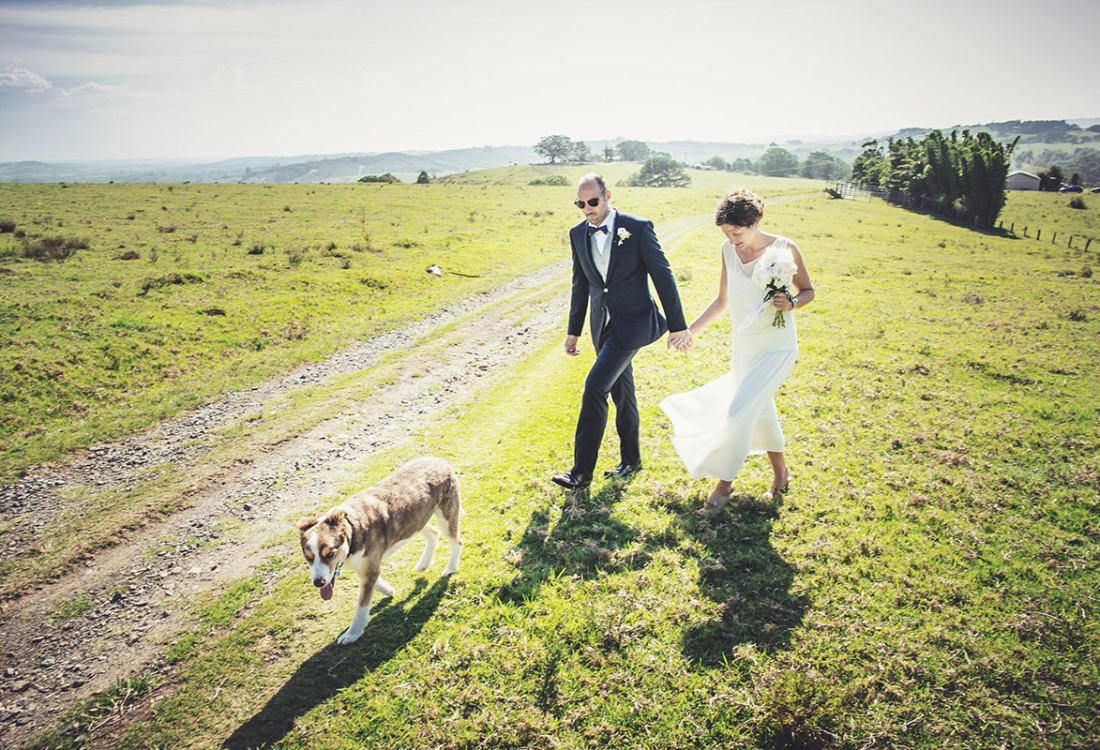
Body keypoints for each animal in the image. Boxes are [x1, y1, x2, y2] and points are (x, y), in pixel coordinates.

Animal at [294, 455, 462, 642]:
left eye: (330, 554)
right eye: (308, 558)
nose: (318, 583)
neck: (353, 530)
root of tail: (439, 460)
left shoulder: (369, 569)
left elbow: (361, 606)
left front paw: (353, 633)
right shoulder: (365, 566)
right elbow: (375, 583)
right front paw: (388, 590)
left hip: (445, 516)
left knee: (456, 542)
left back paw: (451, 567)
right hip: (417, 519)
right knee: (433, 534)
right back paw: (423, 563)